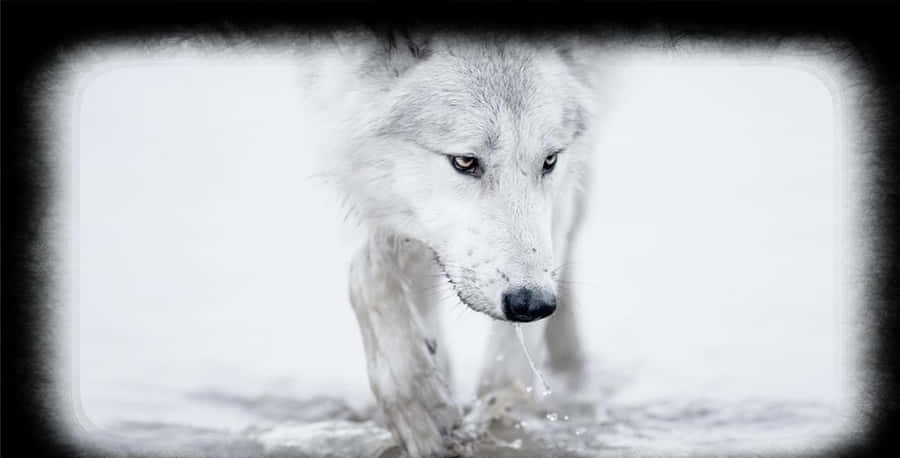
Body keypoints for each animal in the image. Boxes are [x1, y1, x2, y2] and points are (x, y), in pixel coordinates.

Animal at [312, 27, 599, 457]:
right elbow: (371, 268)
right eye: (465, 162)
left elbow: (507, 369)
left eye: (549, 160)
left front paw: (499, 421)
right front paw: (419, 402)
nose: (532, 303)